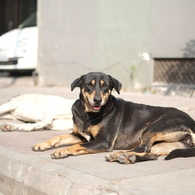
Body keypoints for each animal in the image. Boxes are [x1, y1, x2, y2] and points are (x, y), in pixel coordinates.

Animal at [32, 71, 195, 163]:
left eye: (106, 86)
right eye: (89, 84)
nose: (97, 100)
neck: (88, 114)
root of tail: (192, 122)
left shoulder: (104, 141)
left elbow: (77, 146)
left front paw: (62, 151)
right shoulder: (80, 135)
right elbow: (59, 137)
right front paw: (43, 144)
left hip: (153, 128)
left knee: (144, 147)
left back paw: (121, 155)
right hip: (170, 143)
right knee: (150, 152)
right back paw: (128, 157)